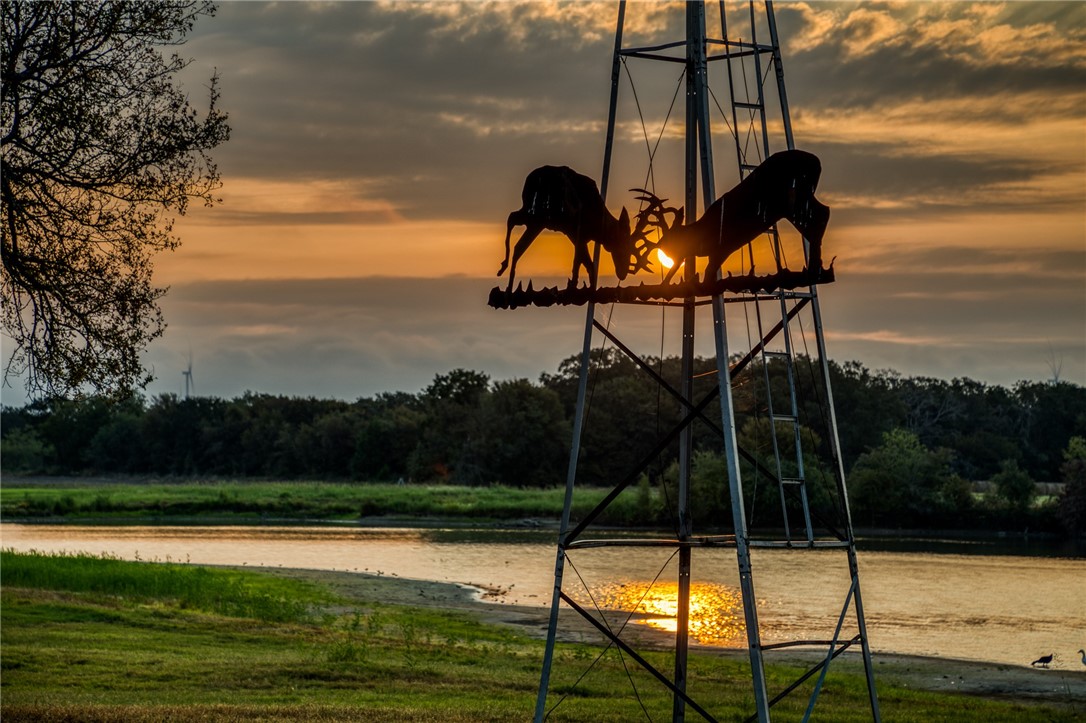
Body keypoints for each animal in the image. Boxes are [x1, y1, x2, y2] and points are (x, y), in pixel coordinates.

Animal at [497, 165, 655, 290]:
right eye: (624, 245)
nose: (623, 273)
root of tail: (530, 178)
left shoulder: (576, 235)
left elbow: (586, 263)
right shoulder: (577, 232)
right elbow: (581, 261)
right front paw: (574, 285)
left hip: (535, 219)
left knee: (517, 241)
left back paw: (508, 284)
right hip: (538, 216)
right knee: (512, 220)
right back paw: (503, 268)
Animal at [634, 150, 829, 282]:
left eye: (675, 236)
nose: (664, 250)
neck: (701, 234)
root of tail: (817, 162)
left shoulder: (724, 247)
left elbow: (709, 273)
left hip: (793, 198)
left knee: (821, 215)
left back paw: (814, 268)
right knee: (823, 212)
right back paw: (816, 267)